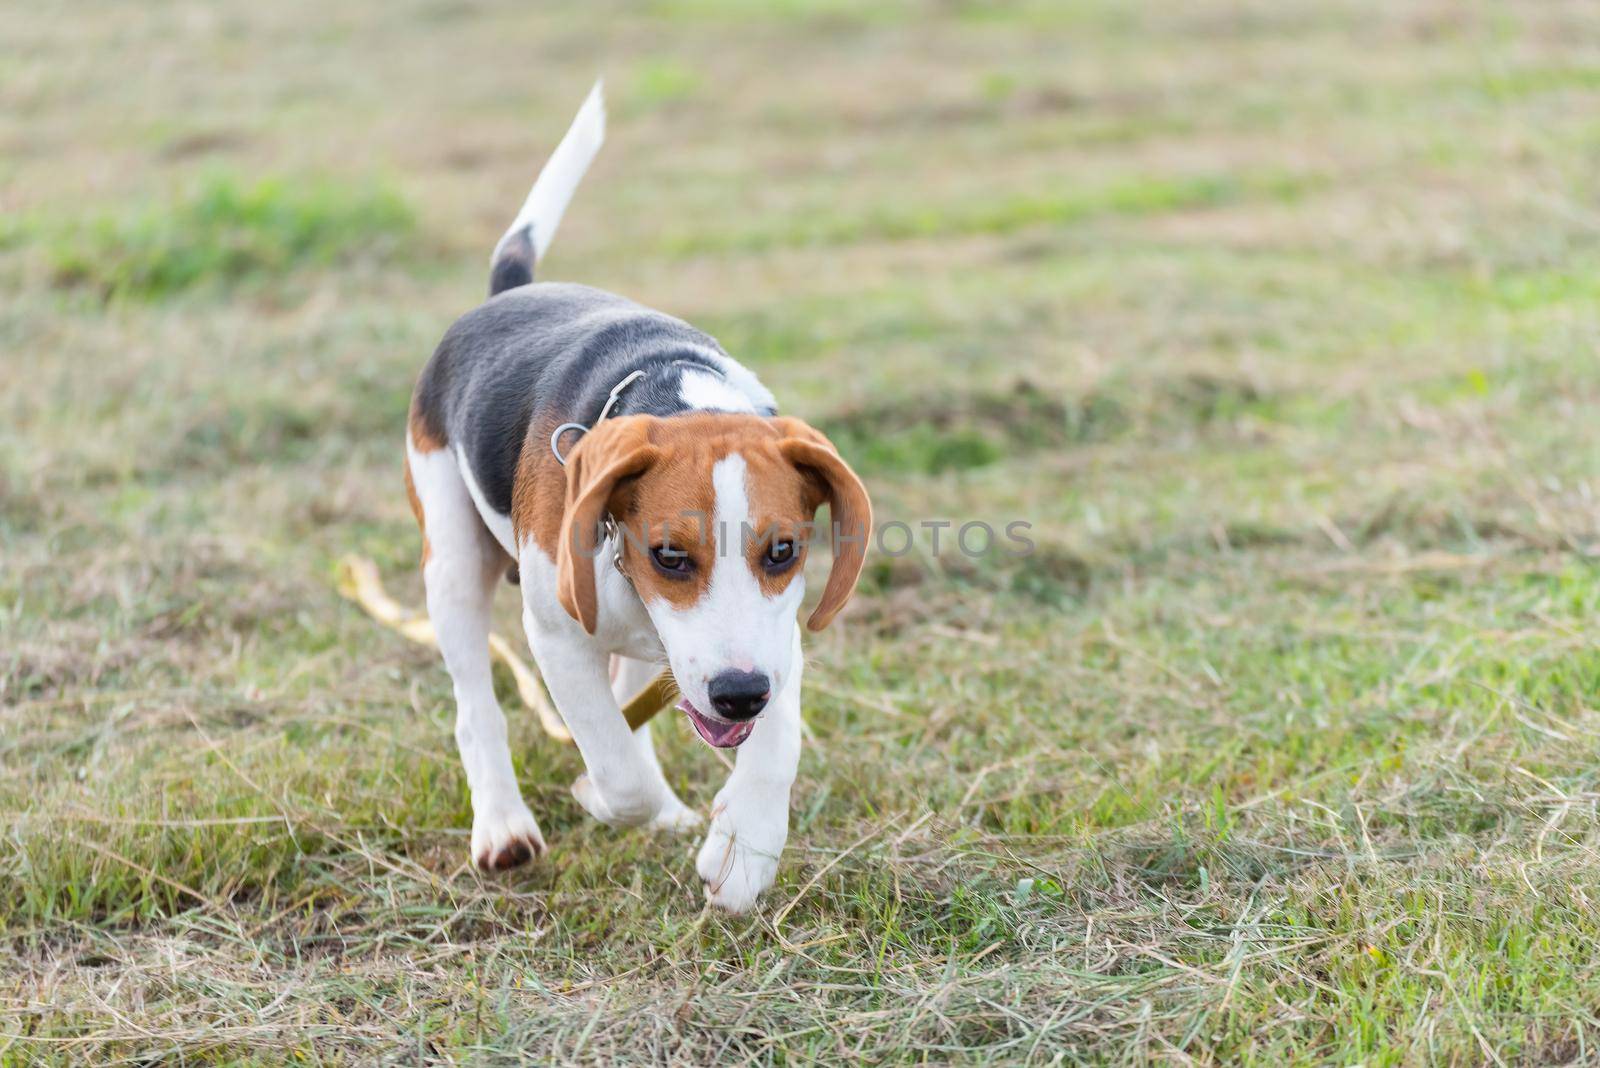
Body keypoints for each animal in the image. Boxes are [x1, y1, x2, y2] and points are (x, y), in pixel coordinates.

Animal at [400, 87, 876, 914]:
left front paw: (744, 841)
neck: (671, 385)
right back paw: (503, 825)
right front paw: (613, 797)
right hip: (452, 562)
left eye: (783, 550)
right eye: (669, 556)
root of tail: (511, 291)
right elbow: (617, 767)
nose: (739, 695)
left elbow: (776, 745)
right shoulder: (558, 636)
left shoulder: (776, 636)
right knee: (477, 709)